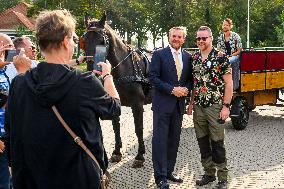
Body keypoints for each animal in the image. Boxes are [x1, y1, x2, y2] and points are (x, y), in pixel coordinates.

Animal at [79, 13, 152, 168]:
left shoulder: (137, 104)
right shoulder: (114, 102)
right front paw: (117, 152)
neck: (124, 68)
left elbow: (139, 128)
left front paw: (140, 155)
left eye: (102, 41)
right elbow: (115, 126)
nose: (93, 72)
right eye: (84, 41)